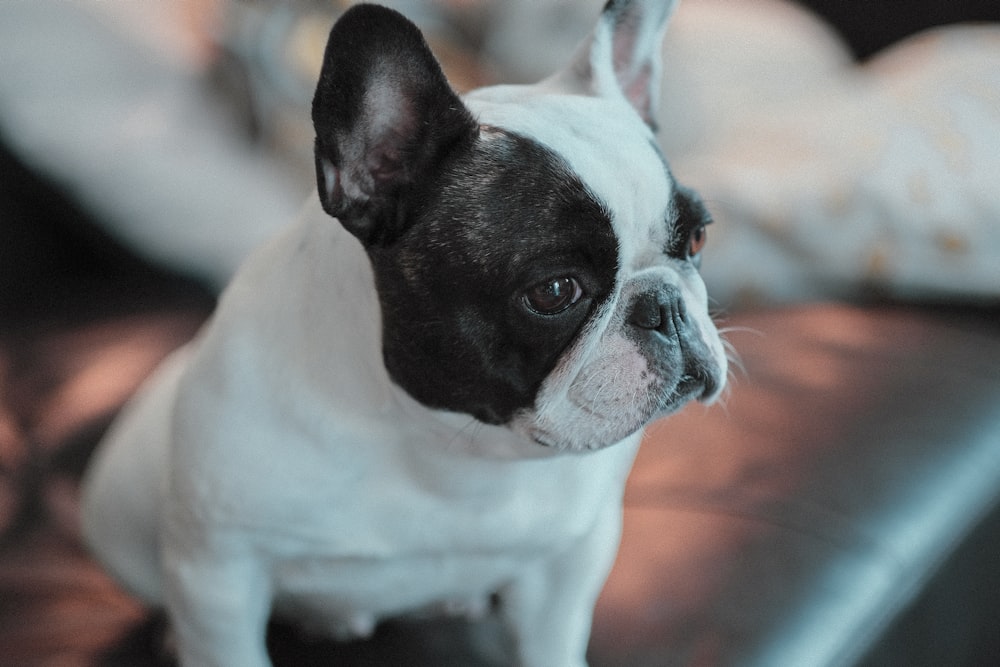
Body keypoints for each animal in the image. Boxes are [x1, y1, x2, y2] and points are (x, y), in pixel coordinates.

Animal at [80, 2, 728, 664]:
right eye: (554, 291)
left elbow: (550, 640)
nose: (665, 308)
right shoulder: (219, 577)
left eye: (699, 237)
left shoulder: (571, 558)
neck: (446, 445)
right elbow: (225, 646)